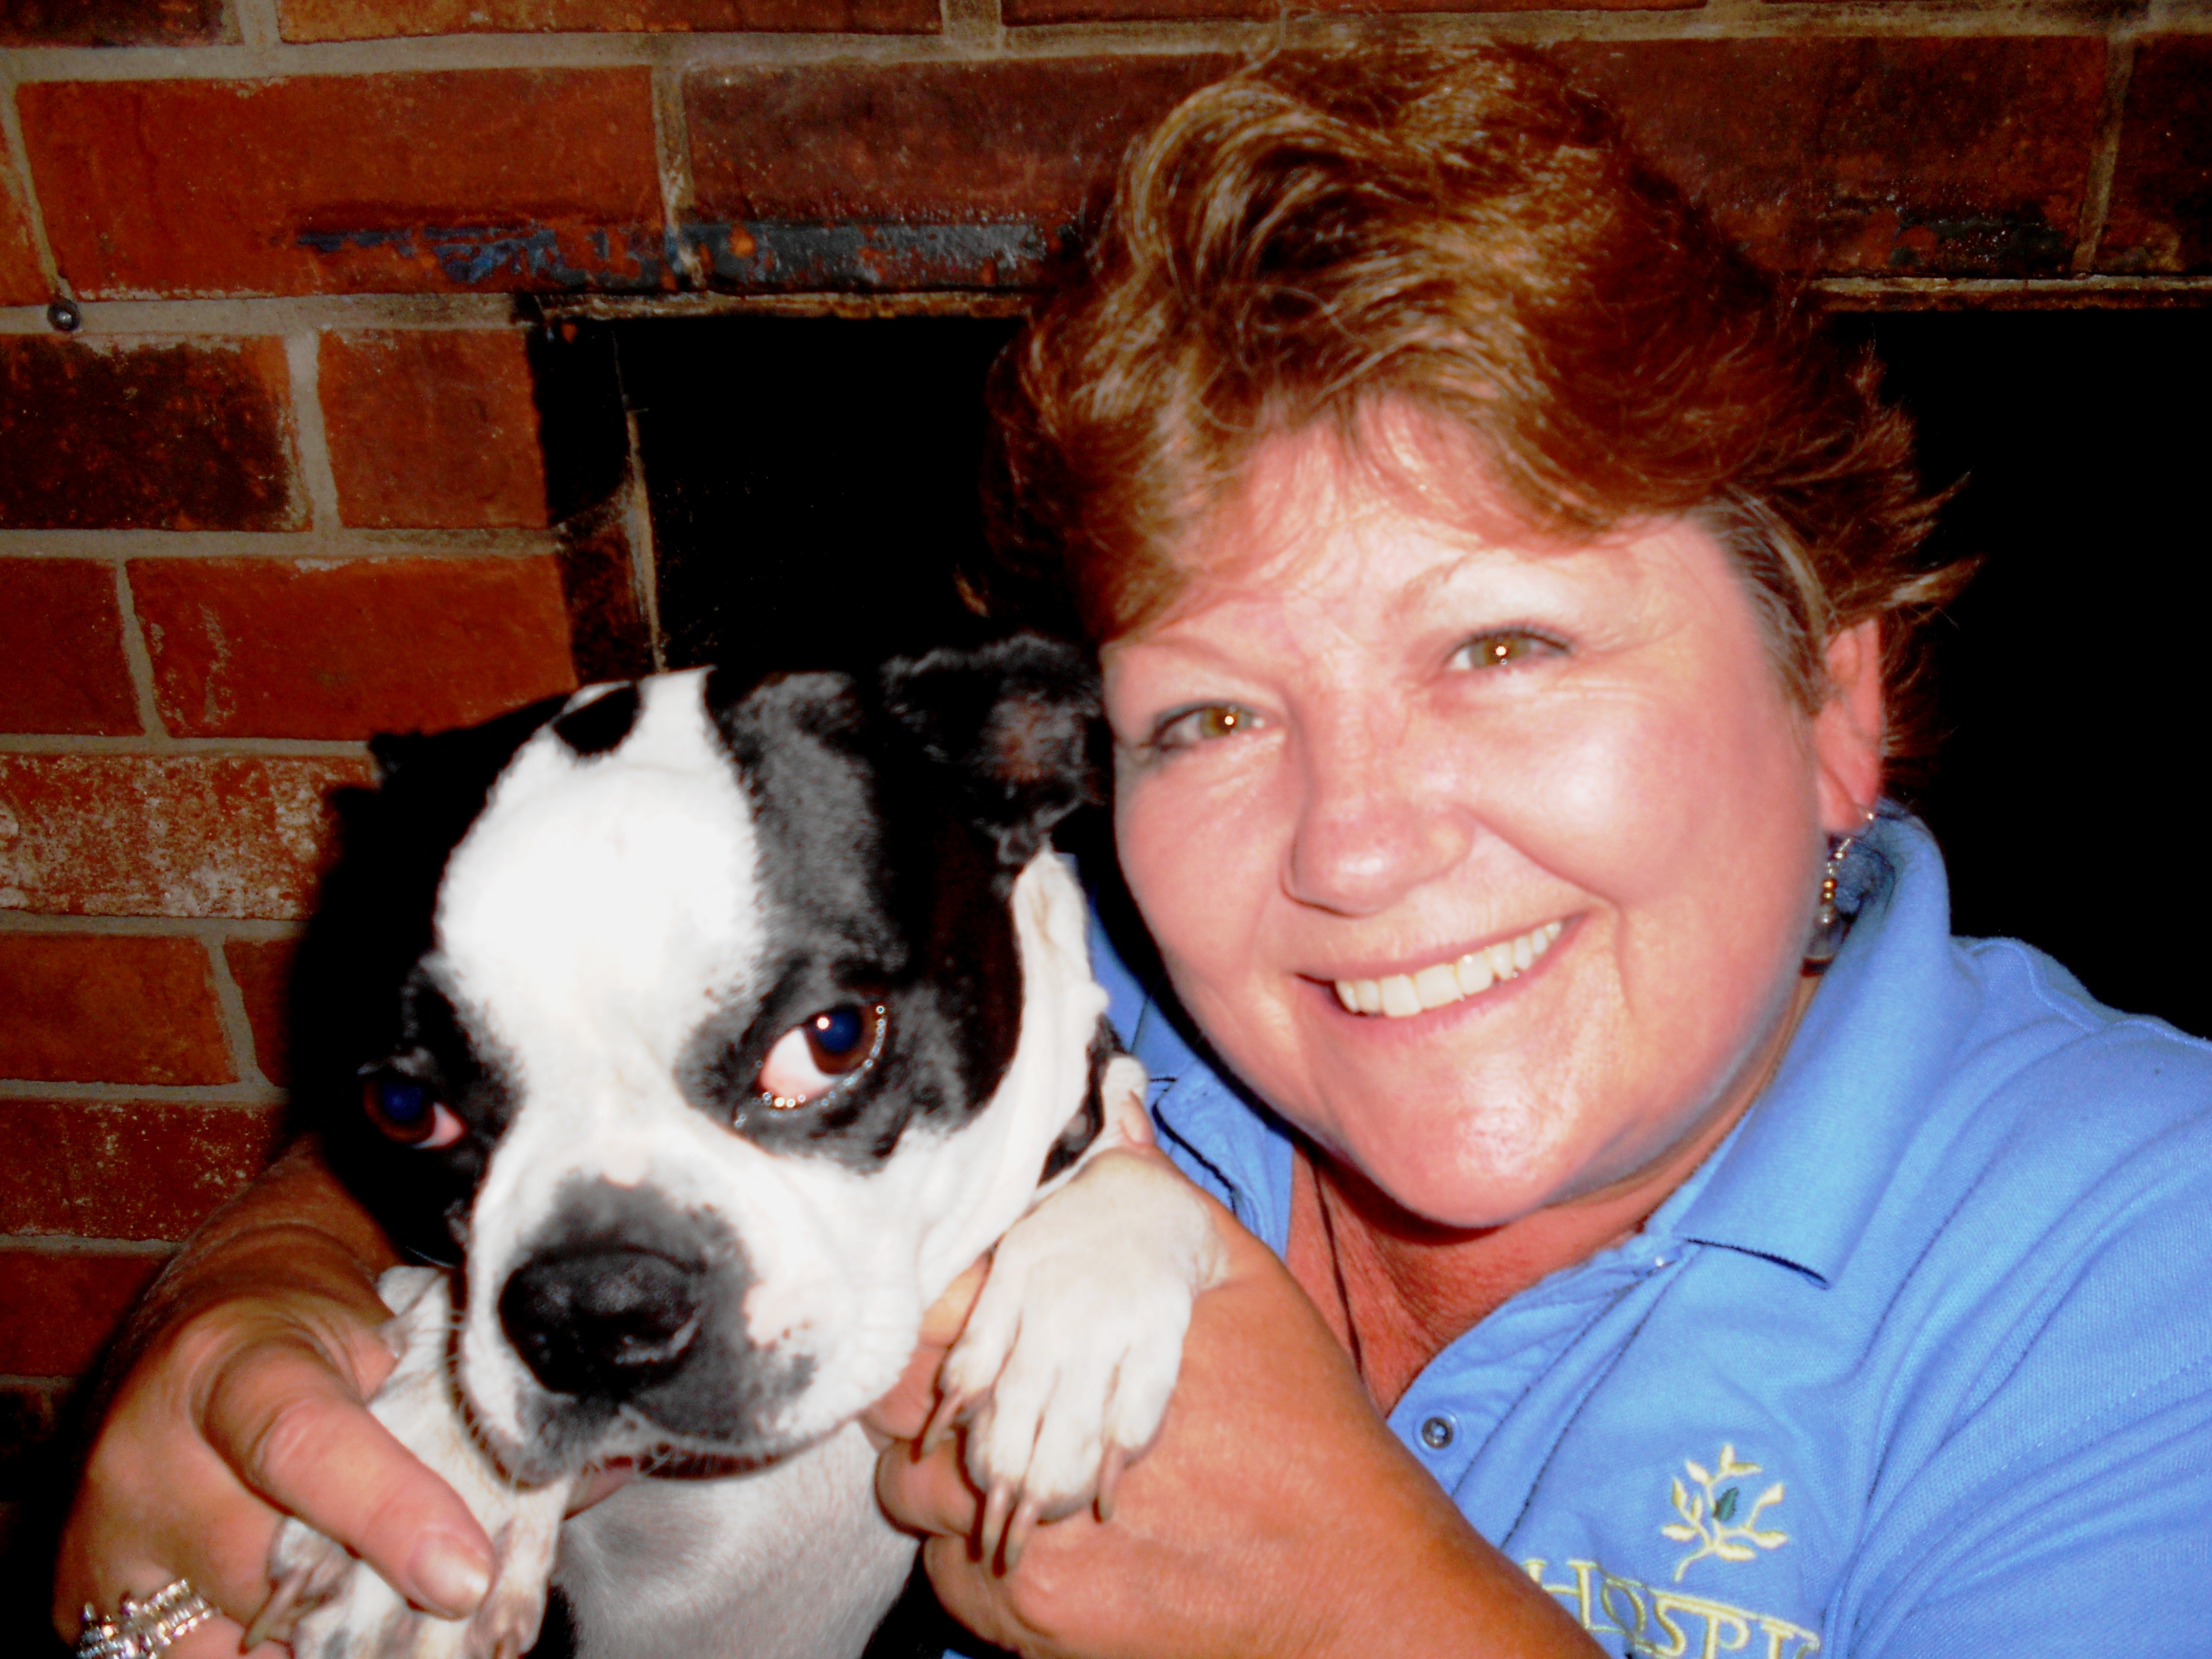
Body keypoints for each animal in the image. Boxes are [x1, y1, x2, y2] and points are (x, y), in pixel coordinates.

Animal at [250, 635, 1226, 1659]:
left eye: (831, 1037)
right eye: (403, 1107)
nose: (596, 1305)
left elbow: (1132, 1180)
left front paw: (1073, 1332)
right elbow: (447, 1316)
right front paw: (443, 1479)